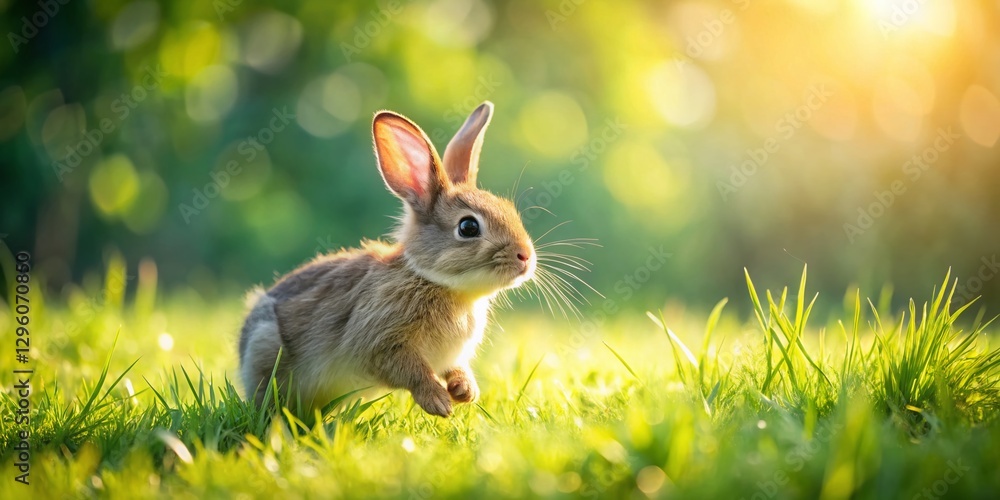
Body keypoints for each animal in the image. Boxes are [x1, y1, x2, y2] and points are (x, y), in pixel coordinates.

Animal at [237, 101, 536, 417]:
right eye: (468, 227)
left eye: (510, 210)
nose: (526, 257)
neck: (436, 282)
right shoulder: (379, 342)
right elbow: (412, 371)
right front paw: (439, 403)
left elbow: (454, 368)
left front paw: (465, 391)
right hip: (266, 344)